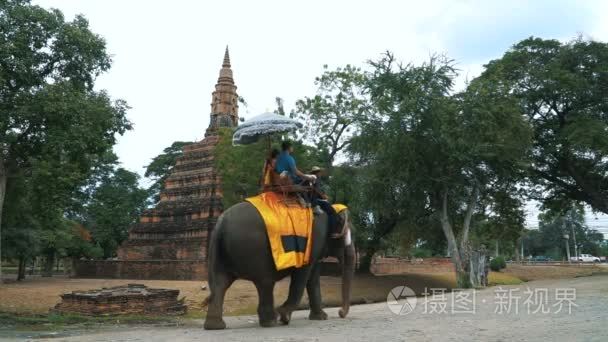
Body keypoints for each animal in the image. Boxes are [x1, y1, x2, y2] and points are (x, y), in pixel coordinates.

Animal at [204, 200, 356, 328]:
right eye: (347, 233)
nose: (340, 313)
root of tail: (221, 223)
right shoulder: (314, 239)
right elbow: (303, 274)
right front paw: (284, 316)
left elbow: (313, 278)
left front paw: (321, 318)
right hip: (255, 250)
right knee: (265, 282)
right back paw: (271, 321)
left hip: (219, 252)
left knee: (220, 283)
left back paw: (215, 326)